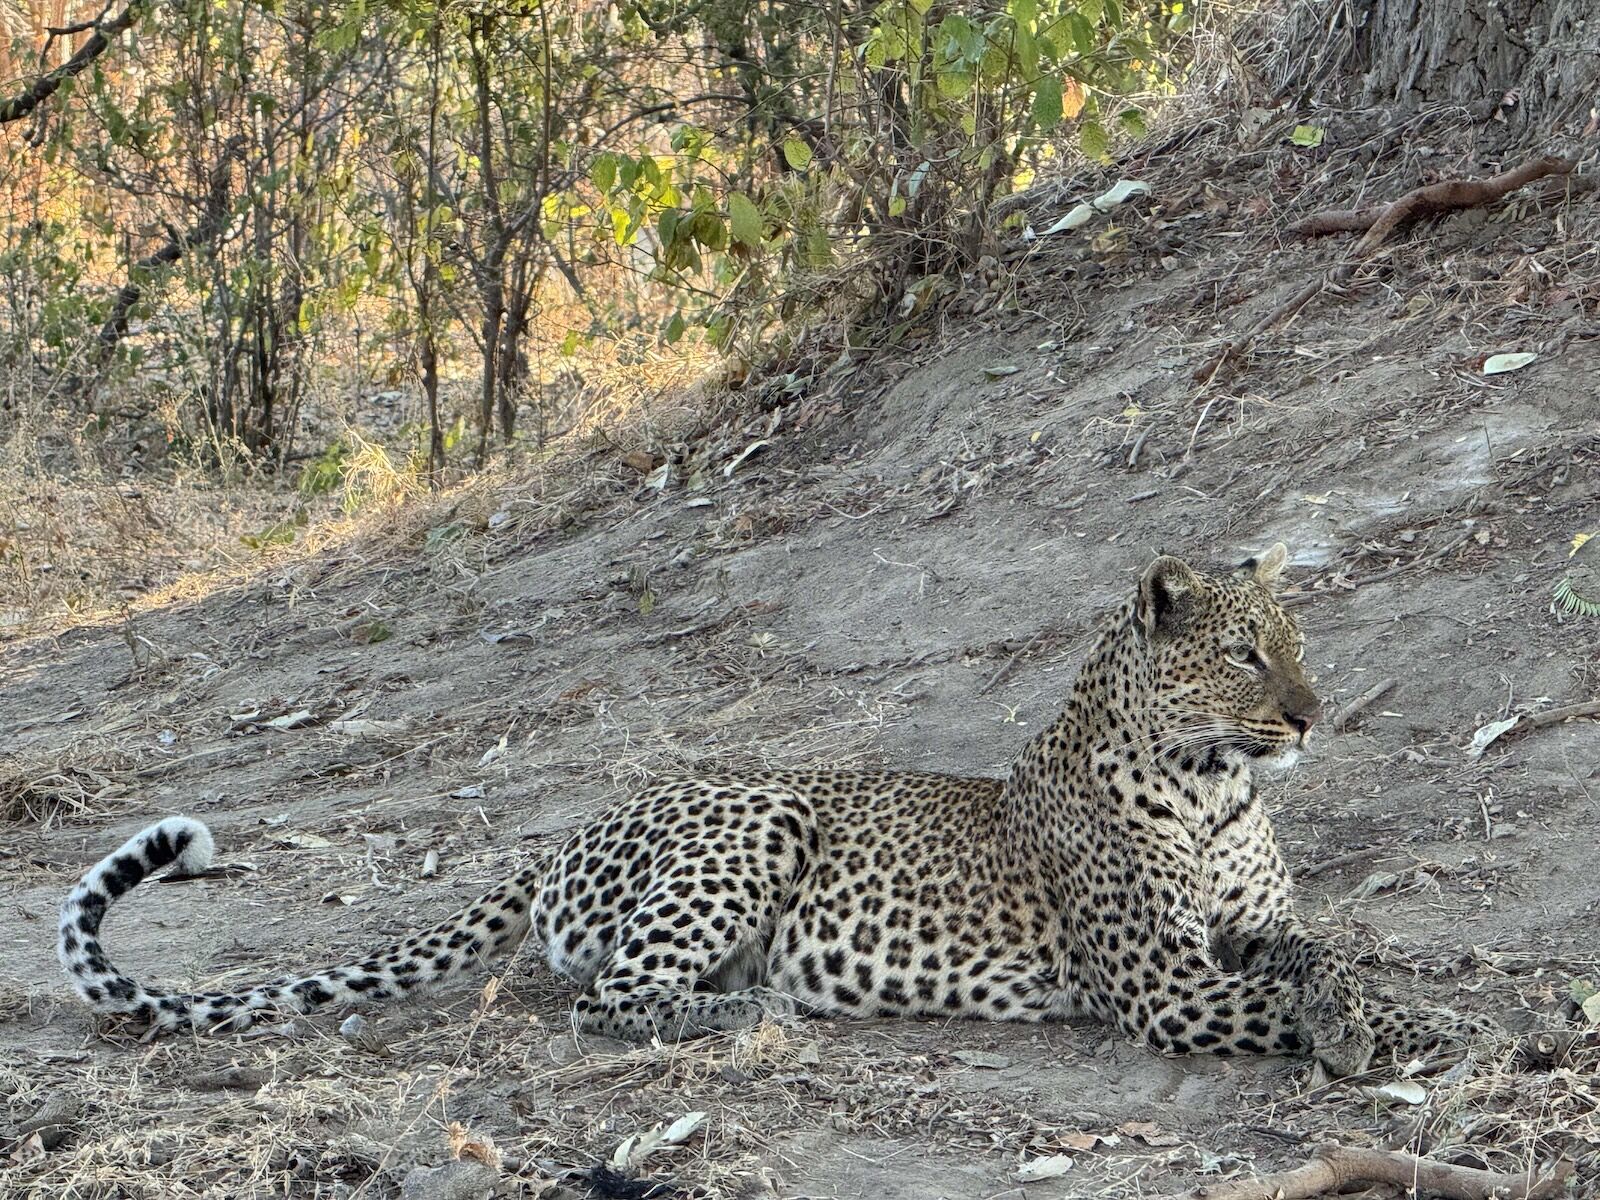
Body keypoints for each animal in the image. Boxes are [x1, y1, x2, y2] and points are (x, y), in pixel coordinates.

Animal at [59, 544, 1498, 1074]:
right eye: (1246, 655)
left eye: (1296, 644)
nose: (1313, 715)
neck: (1212, 787)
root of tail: (572, 831)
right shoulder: (1164, 989)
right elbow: (1283, 995)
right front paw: (1392, 1030)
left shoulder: (1246, 930)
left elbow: (1318, 948)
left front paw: (1379, 1006)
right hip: (753, 826)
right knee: (610, 1001)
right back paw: (747, 1014)